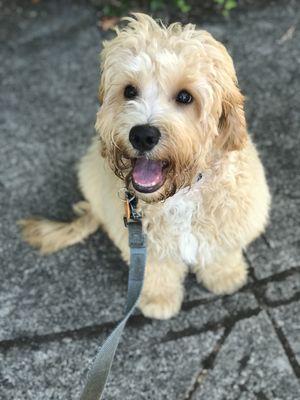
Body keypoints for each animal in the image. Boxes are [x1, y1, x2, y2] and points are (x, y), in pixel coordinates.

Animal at [19, 14, 270, 320]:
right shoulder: (142, 242)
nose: (142, 135)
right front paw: (159, 300)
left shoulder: (231, 218)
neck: (180, 193)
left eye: (185, 97)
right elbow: (156, 271)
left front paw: (225, 278)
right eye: (129, 91)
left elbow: (220, 251)